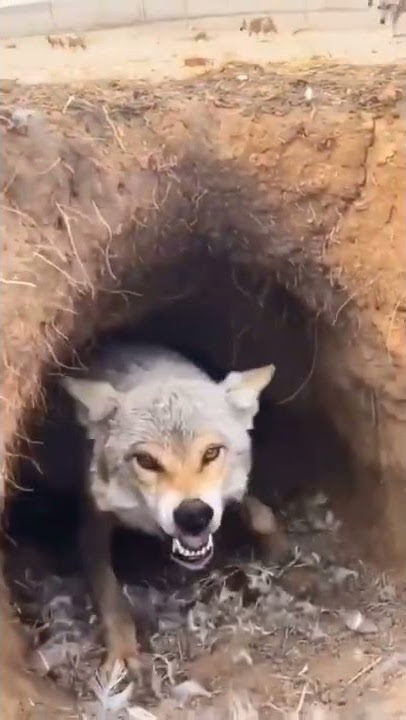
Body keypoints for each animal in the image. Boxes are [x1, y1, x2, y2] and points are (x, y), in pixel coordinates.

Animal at [61, 342, 279, 672]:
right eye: (146, 460)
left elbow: (261, 516)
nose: (194, 515)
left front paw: (276, 550)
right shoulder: (91, 525)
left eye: (211, 453)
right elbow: (111, 596)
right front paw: (123, 652)